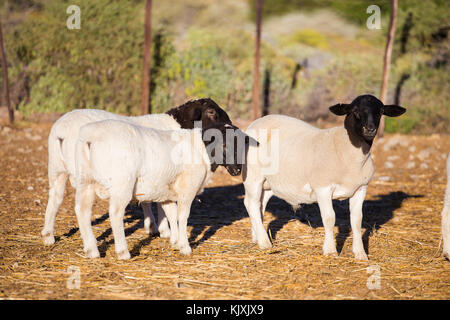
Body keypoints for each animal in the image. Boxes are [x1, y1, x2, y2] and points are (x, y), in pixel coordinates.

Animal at [41, 97, 236, 245]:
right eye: (212, 112)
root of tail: (61, 132)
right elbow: (159, 203)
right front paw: (164, 230)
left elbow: (149, 200)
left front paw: (153, 227)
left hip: (56, 169)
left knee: (55, 198)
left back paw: (48, 236)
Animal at [74, 119, 250, 258]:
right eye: (224, 144)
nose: (237, 170)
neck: (202, 151)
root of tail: (91, 138)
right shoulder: (187, 188)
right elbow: (182, 217)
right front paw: (185, 247)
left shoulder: (168, 192)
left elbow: (172, 215)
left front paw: (176, 241)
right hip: (122, 184)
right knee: (115, 213)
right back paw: (123, 252)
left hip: (85, 181)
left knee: (82, 211)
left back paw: (91, 251)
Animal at [244, 94, 406, 260]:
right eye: (355, 110)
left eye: (380, 112)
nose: (370, 129)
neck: (346, 150)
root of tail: (256, 122)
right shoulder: (322, 187)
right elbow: (329, 218)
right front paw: (330, 251)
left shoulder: (361, 188)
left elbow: (357, 220)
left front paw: (360, 253)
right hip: (253, 176)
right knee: (251, 204)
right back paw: (264, 243)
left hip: (269, 182)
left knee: (260, 204)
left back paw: (257, 237)